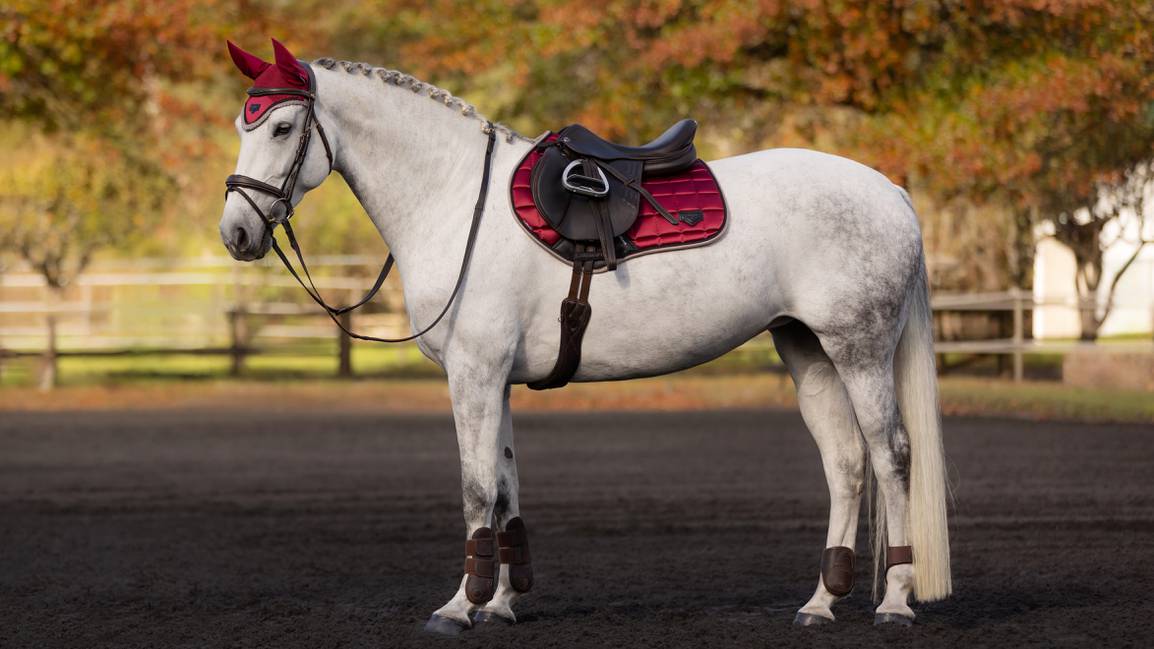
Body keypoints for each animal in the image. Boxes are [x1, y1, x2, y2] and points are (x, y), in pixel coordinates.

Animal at [218, 39, 951, 634]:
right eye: (241, 125)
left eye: (282, 125)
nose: (237, 233)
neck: (455, 199)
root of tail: (889, 191)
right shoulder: (494, 377)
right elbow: (505, 484)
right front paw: (502, 601)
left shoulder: (474, 372)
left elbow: (476, 488)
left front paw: (460, 606)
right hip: (807, 349)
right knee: (846, 463)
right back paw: (821, 603)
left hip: (859, 350)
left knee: (891, 457)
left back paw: (893, 601)